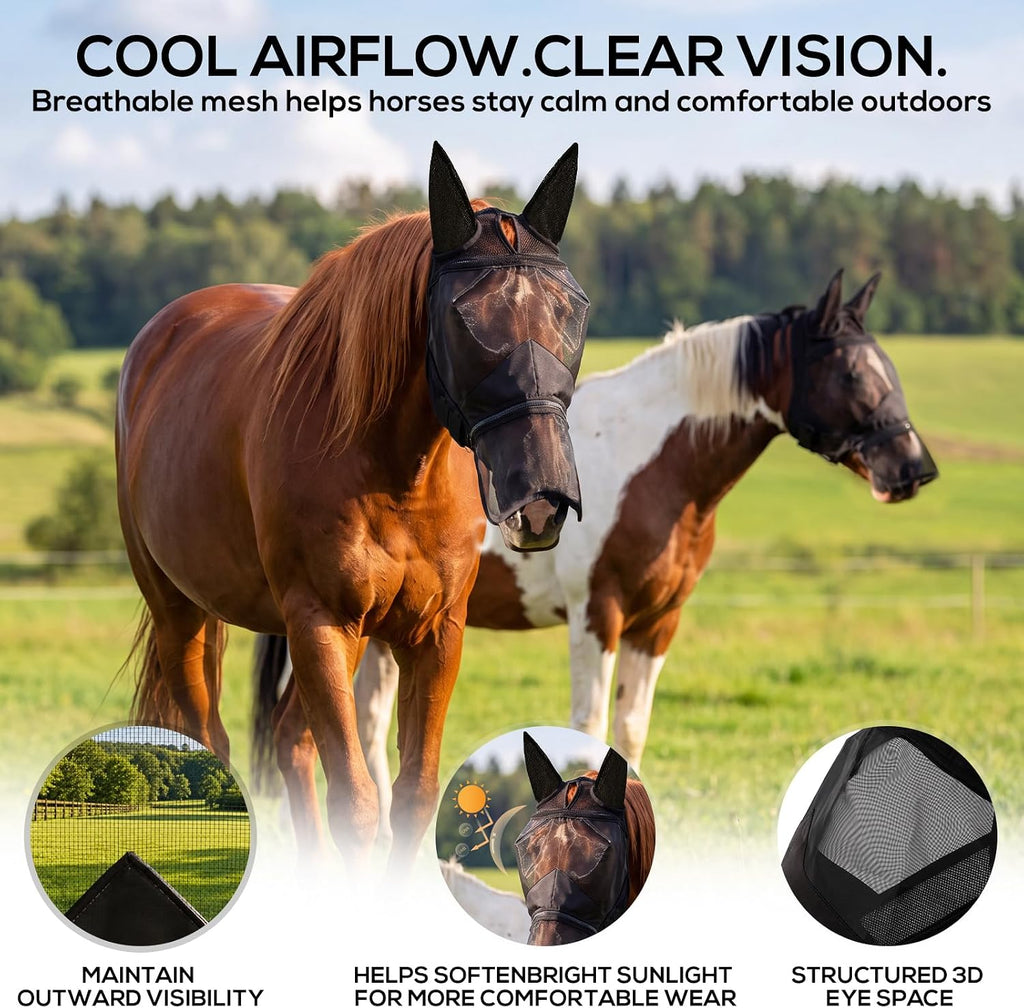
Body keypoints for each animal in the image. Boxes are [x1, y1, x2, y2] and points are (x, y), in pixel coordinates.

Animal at [115, 141, 589, 868]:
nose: (540, 501)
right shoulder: (320, 622)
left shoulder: (433, 634)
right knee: (214, 739)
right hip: (180, 613)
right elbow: (358, 804)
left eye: (573, 309)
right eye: (464, 318)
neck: (394, 474)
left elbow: (414, 796)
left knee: (290, 743)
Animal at [253, 270, 938, 831]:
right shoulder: (596, 614)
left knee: (366, 723)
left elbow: (632, 728)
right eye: (850, 373)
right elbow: (589, 727)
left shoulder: (657, 623)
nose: (914, 470)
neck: (652, 464)